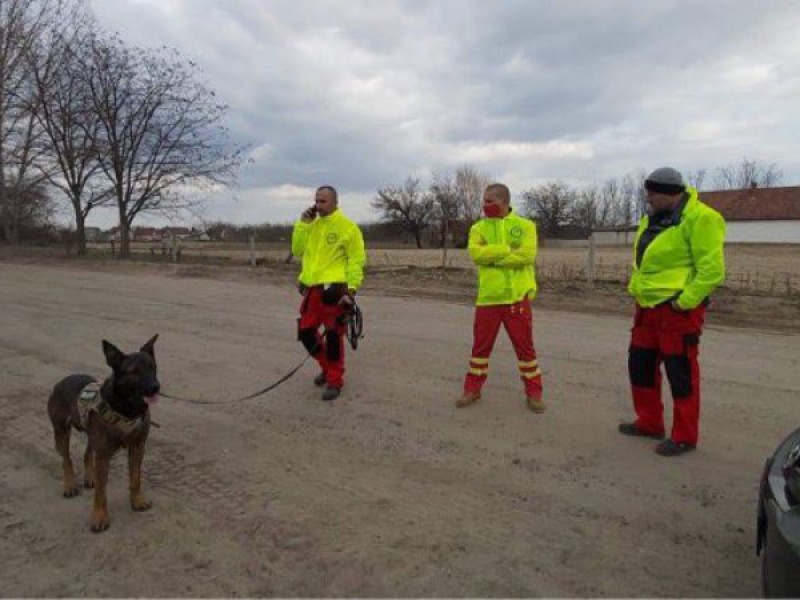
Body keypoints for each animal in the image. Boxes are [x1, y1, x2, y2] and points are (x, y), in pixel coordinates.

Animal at [47, 336, 161, 532]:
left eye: (152, 366)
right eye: (134, 372)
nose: (155, 387)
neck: (127, 407)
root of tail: (60, 382)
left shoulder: (137, 447)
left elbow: (135, 479)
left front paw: (136, 501)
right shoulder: (103, 453)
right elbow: (101, 491)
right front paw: (100, 517)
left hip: (91, 435)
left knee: (86, 453)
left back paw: (90, 477)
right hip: (62, 432)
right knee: (66, 459)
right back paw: (70, 485)